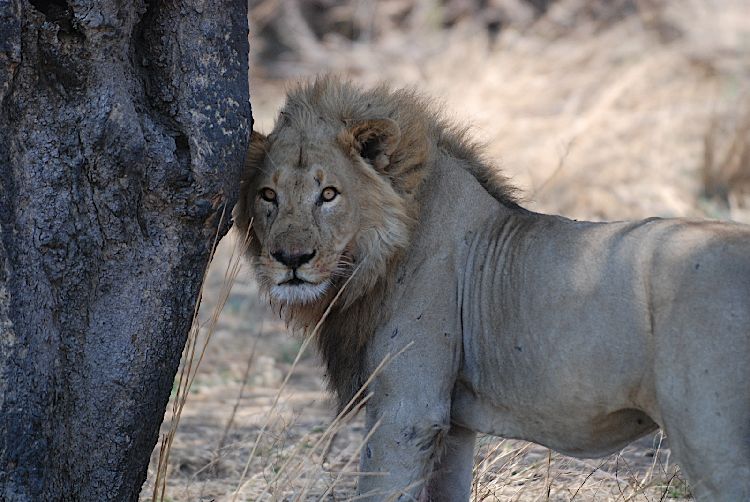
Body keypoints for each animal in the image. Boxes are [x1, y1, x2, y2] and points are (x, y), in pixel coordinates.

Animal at [234, 76, 750, 501]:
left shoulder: (408, 410)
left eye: (328, 194)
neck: (372, 262)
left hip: (710, 437)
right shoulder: (455, 423)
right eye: (268, 196)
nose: (292, 260)